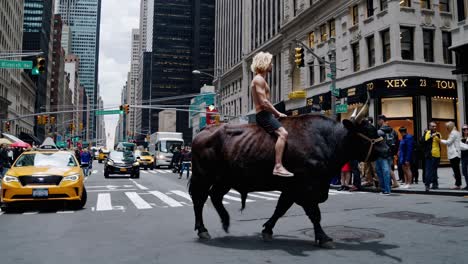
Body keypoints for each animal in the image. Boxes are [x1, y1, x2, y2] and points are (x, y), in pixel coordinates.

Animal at [187, 113, 388, 248]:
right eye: (367, 130)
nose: (388, 149)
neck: (326, 140)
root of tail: (203, 132)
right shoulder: (306, 187)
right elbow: (314, 214)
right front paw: (324, 238)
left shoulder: (292, 188)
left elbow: (281, 208)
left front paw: (267, 230)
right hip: (202, 176)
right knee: (199, 199)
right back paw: (203, 230)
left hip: (224, 179)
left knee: (214, 196)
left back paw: (225, 221)